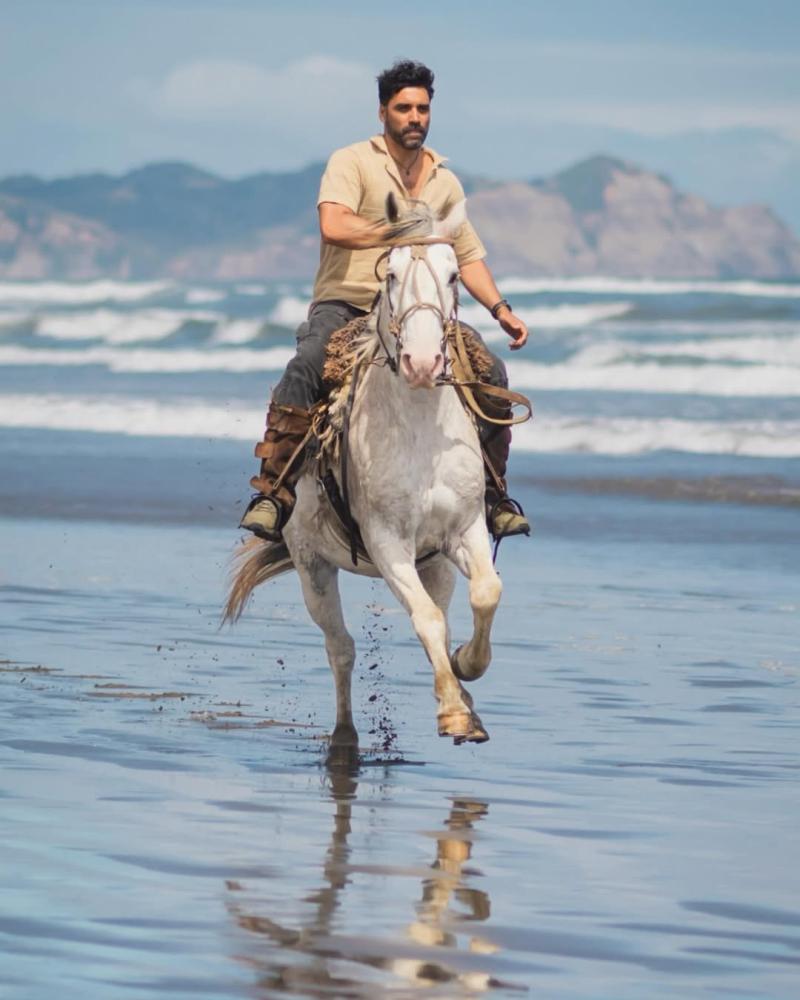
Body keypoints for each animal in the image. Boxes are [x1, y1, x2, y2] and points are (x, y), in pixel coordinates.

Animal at [225, 196, 503, 762]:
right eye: (390, 274)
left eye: (454, 274)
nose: (423, 362)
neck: (419, 428)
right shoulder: (386, 542)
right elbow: (426, 620)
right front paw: (453, 713)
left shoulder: (462, 531)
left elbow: (485, 593)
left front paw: (466, 673)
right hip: (312, 568)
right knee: (342, 649)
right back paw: (346, 738)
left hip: (434, 566)